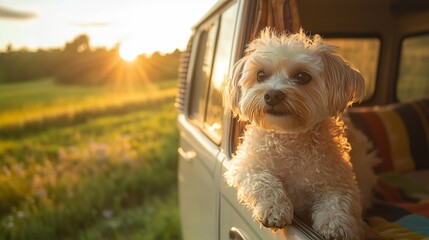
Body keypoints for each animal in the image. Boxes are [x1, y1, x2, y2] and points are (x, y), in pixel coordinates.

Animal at [222, 28, 376, 240]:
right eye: (261, 75)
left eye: (302, 76)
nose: (272, 95)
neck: (288, 137)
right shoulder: (245, 166)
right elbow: (263, 179)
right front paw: (275, 208)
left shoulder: (340, 180)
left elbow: (339, 199)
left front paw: (336, 224)